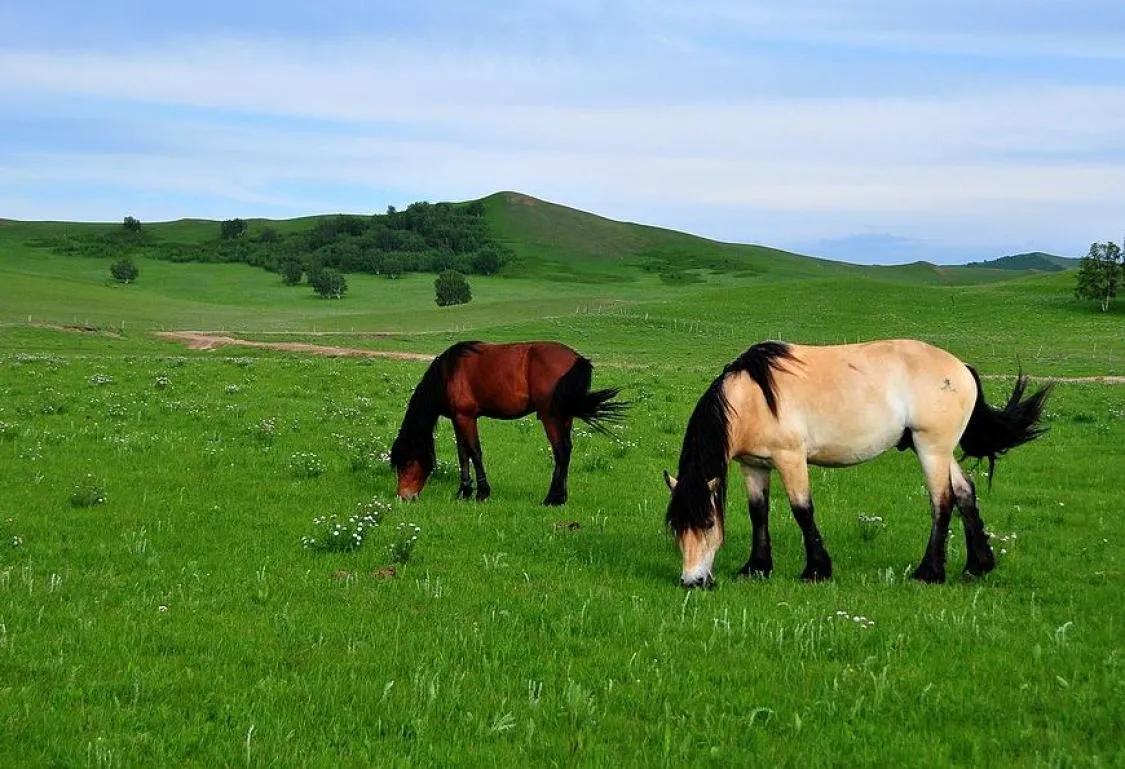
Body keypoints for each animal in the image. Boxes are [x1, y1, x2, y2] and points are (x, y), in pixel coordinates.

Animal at [393, 341, 625, 503]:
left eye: (407, 463)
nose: (404, 496)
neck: (449, 373)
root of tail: (578, 359)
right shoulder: (458, 418)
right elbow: (463, 454)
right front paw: (464, 492)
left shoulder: (467, 417)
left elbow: (475, 452)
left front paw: (482, 493)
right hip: (564, 417)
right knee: (566, 451)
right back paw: (561, 497)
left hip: (551, 417)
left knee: (560, 452)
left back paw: (552, 498)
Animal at [661, 339, 1048, 584]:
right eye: (677, 528)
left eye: (708, 523)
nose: (692, 581)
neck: (752, 396)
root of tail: (961, 367)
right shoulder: (754, 465)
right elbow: (759, 513)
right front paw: (756, 568)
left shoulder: (791, 459)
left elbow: (802, 510)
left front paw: (816, 570)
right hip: (938, 449)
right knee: (965, 491)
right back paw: (977, 566)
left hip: (931, 449)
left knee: (943, 501)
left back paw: (929, 573)